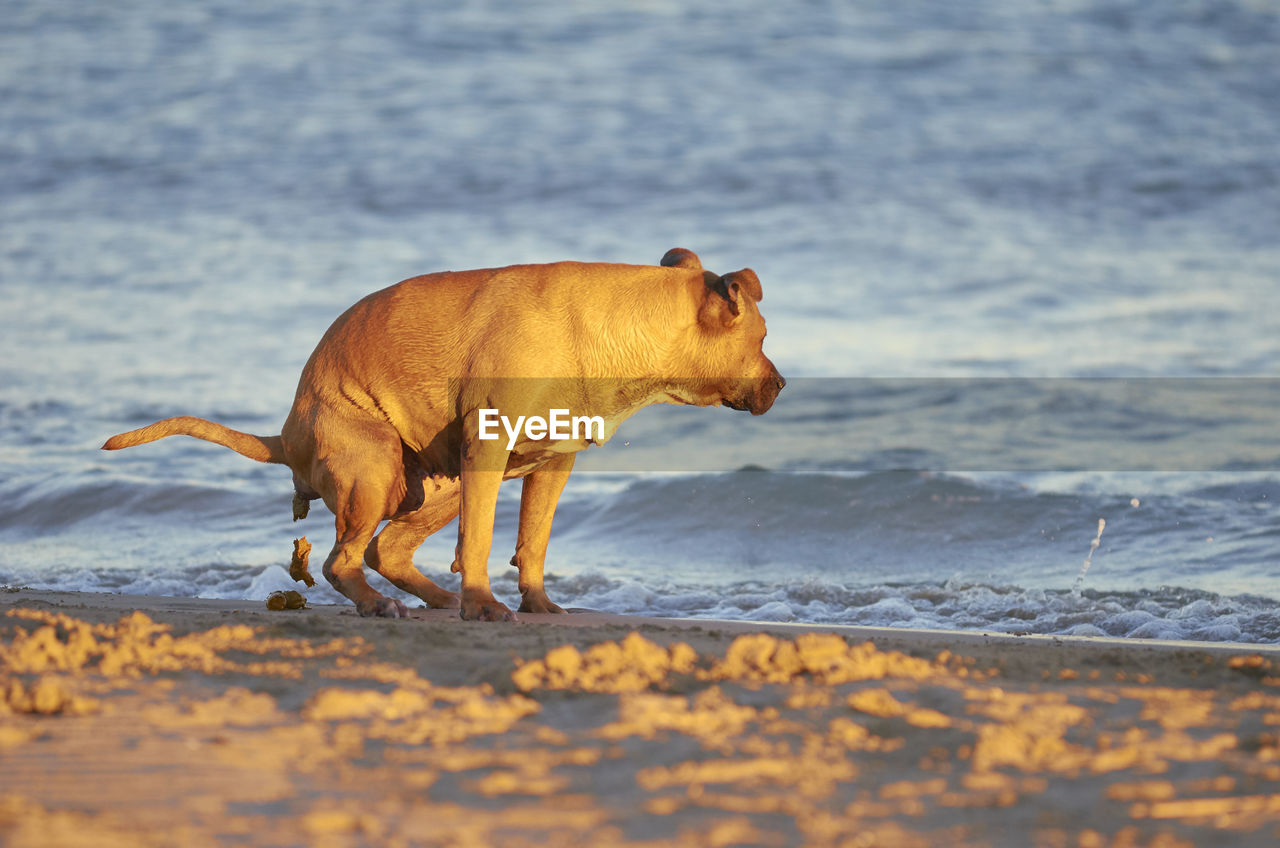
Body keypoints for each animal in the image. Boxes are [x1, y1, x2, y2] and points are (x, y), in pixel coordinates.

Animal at [102, 249, 778, 622]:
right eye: (764, 338)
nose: (782, 383)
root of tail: (288, 432)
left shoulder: (551, 464)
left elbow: (533, 543)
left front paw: (534, 604)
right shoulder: (489, 448)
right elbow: (479, 542)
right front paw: (482, 605)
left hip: (433, 485)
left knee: (386, 550)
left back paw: (431, 599)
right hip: (377, 468)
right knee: (343, 558)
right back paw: (381, 604)